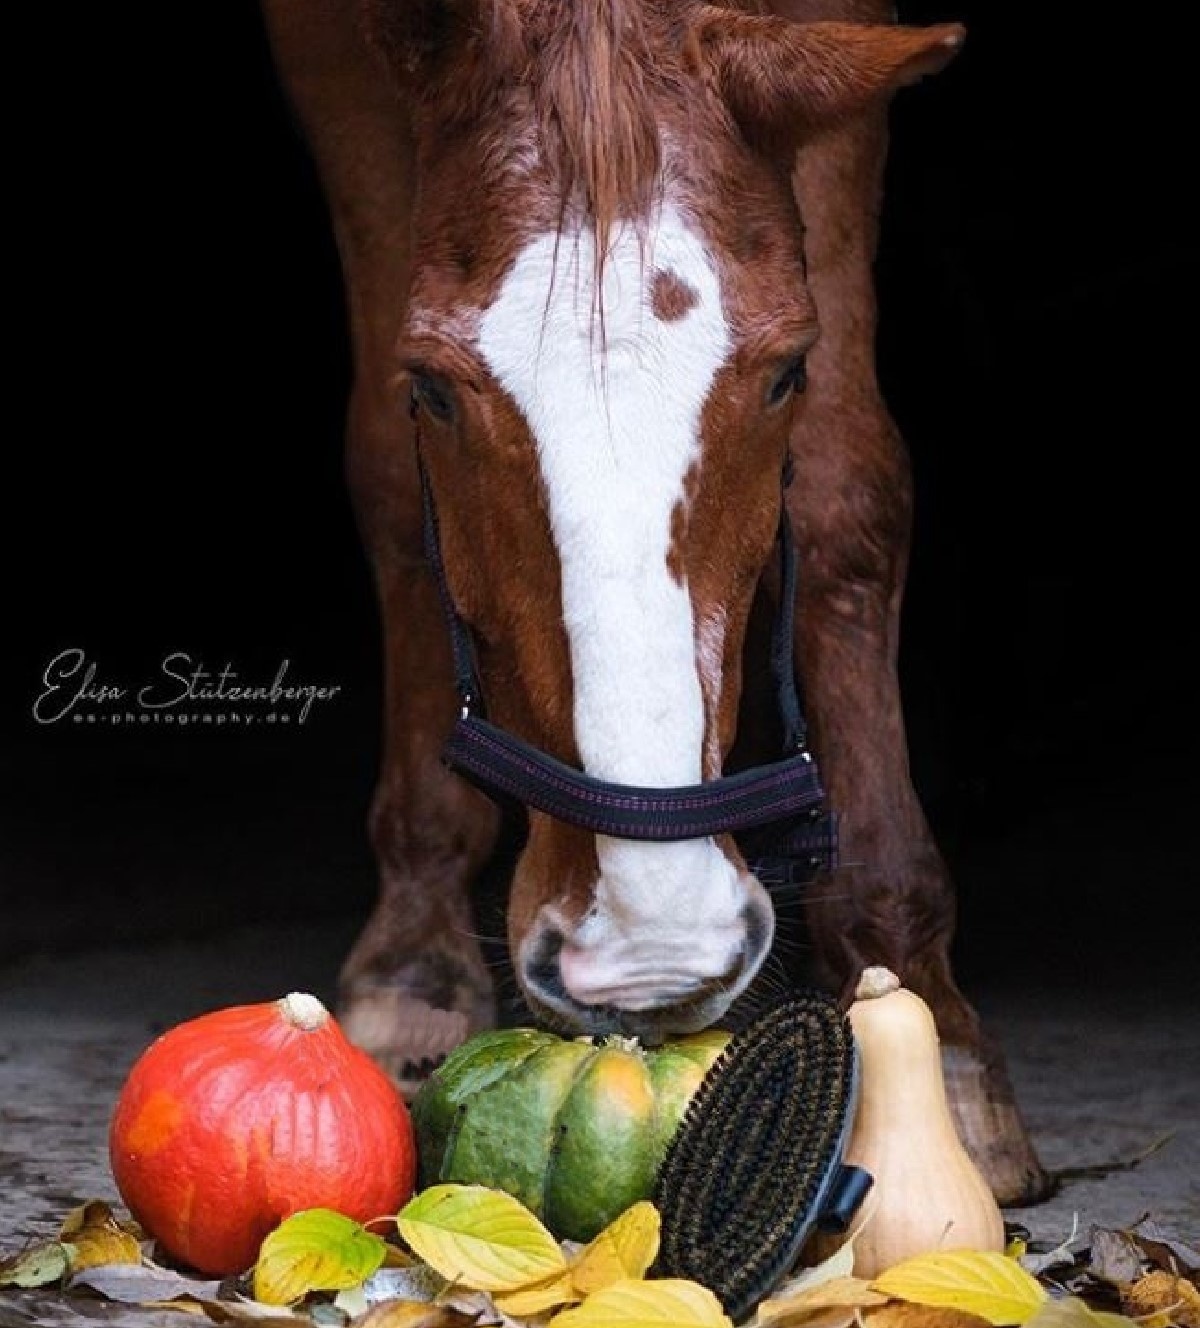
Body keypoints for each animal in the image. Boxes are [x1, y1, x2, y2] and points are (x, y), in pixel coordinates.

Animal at [258, 0, 1051, 1205]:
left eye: (785, 374)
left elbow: (845, 486)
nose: (652, 942)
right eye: (431, 390)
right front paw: (413, 952)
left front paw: (916, 990)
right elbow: (393, 486)